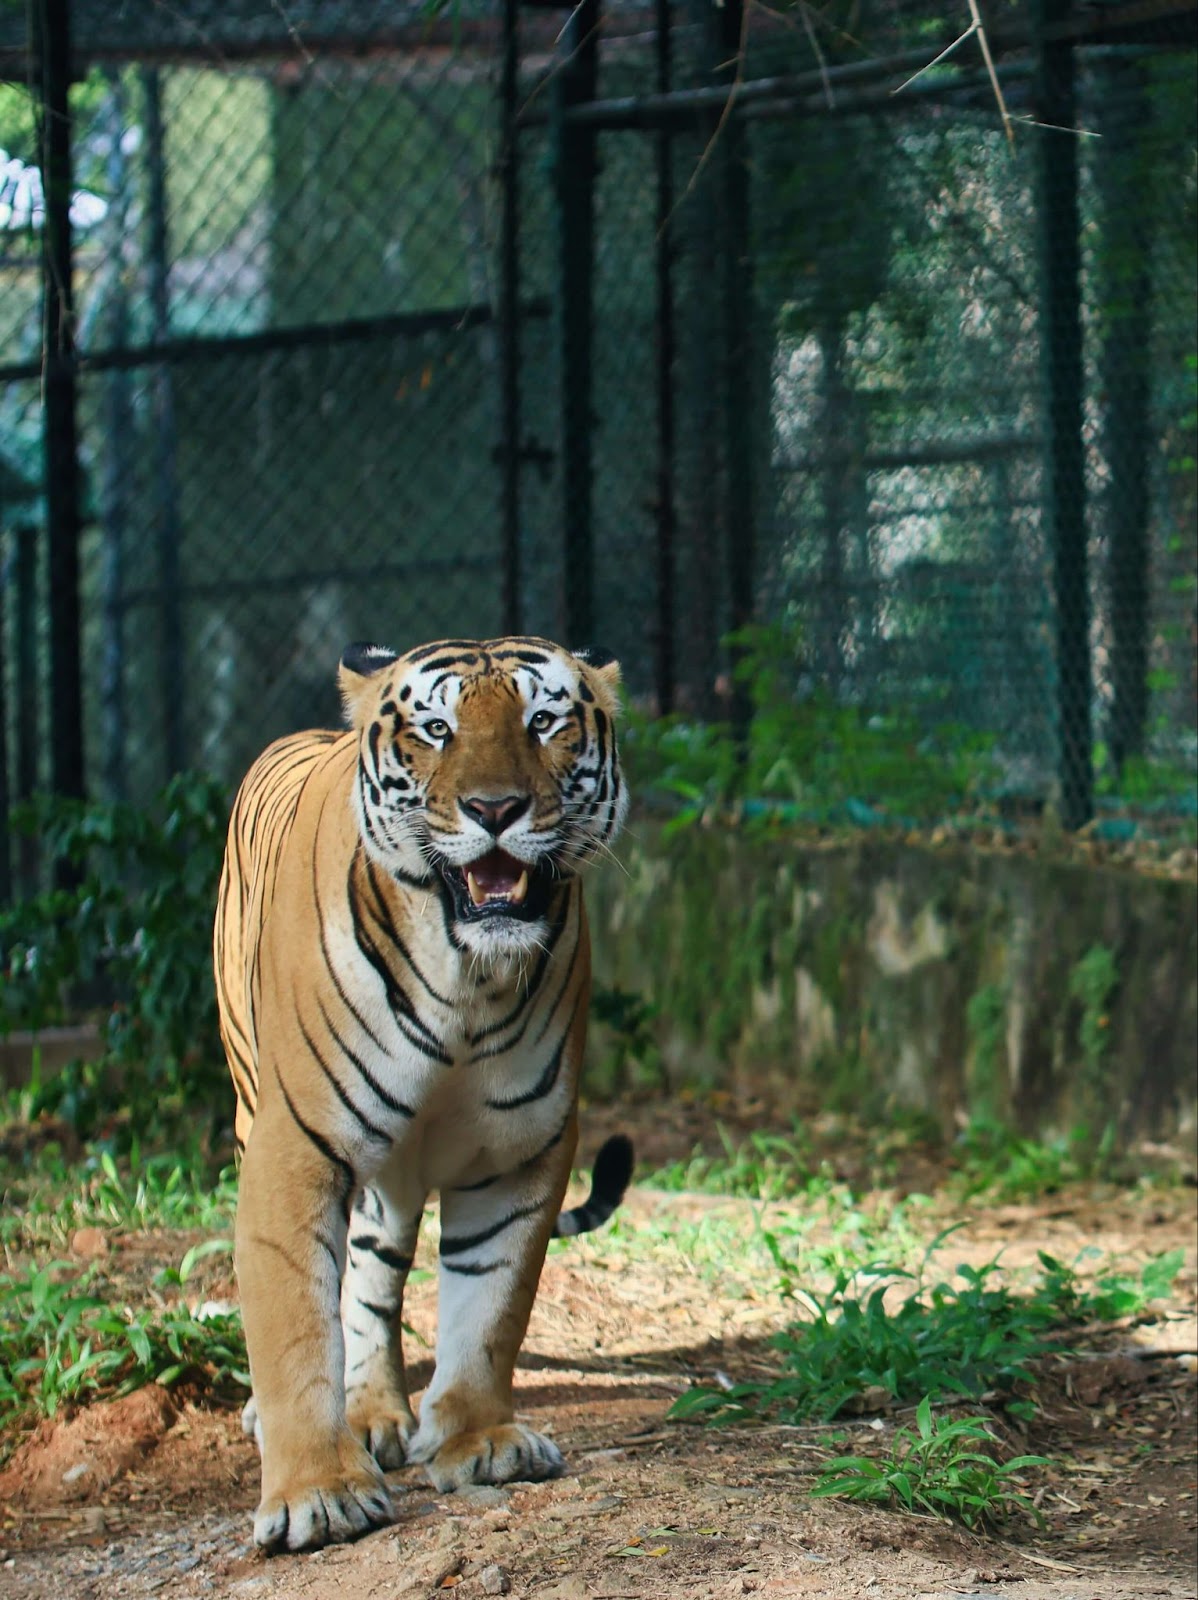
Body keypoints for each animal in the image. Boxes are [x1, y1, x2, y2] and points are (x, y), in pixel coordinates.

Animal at [211, 633, 630, 1548]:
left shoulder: (522, 1152)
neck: (467, 981)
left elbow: (489, 1305)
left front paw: (479, 1441)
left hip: (390, 1177)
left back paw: (375, 1411)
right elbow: (294, 1319)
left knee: (371, 1281)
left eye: (543, 721)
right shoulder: (295, 1144)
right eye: (436, 729)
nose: (495, 808)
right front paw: (317, 1492)